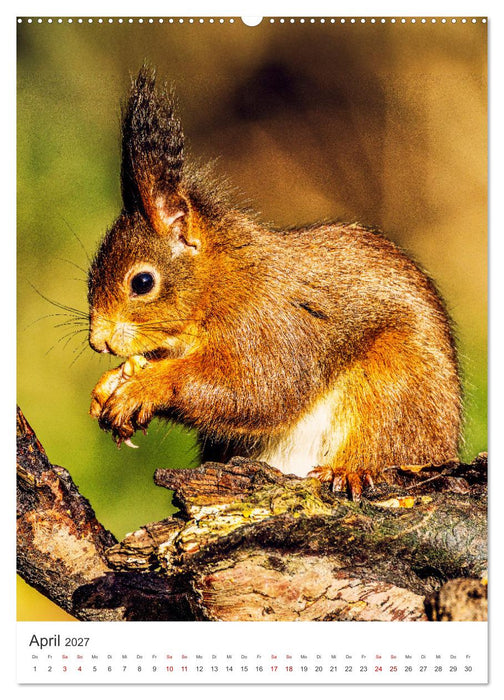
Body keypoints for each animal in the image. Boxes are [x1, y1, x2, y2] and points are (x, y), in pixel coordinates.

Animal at [88, 66, 462, 500]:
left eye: (143, 282)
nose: (98, 341)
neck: (225, 285)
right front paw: (111, 383)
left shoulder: (270, 329)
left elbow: (254, 391)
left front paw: (144, 387)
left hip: (396, 391)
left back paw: (350, 469)